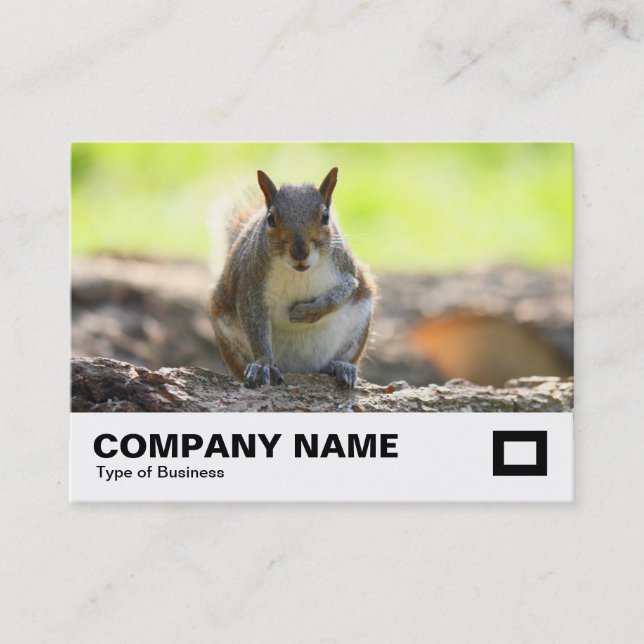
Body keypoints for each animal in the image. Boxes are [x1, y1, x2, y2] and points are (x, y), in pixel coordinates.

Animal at [209, 167, 375, 389]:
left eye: (325, 216)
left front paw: (308, 312)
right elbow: (255, 326)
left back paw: (339, 366)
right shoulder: (250, 284)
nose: (300, 252)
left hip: (358, 326)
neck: (299, 273)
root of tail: (299, 369)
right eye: (270, 218)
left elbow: (343, 292)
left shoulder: (346, 271)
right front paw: (263, 364)